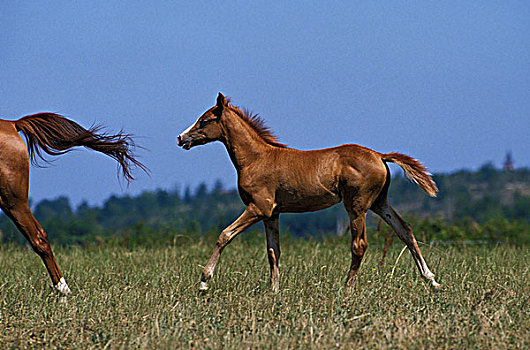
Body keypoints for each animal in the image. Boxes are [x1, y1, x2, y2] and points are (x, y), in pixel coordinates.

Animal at [175, 93, 440, 292]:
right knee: (405, 230)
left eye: (204, 120)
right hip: (379, 202)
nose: (180, 138)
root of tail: (380, 155)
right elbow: (273, 251)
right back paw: (431, 280)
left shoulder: (259, 207)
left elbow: (225, 235)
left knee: (359, 244)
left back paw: (347, 289)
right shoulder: (272, 214)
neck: (256, 158)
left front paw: (204, 281)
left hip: (357, 205)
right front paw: (274, 291)